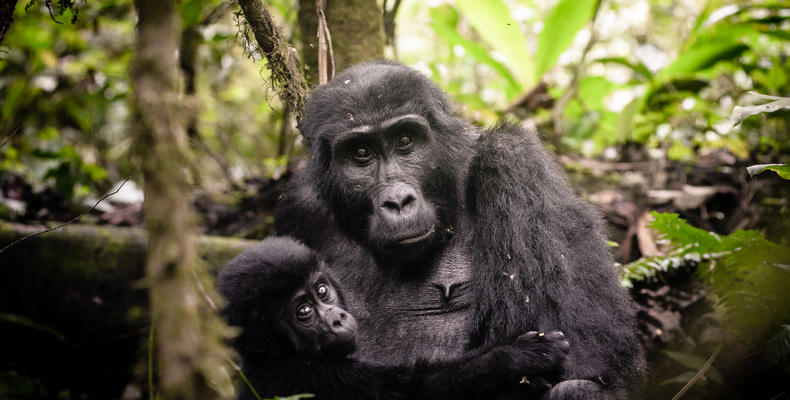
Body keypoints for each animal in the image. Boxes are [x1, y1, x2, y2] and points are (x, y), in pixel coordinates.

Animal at [220, 238, 572, 400]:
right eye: (303, 312)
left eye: (322, 291)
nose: (337, 319)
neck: (275, 357)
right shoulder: (311, 377)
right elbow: (415, 387)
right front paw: (518, 357)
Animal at [278, 61, 644, 398]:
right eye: (361, 153)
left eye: (405, 141)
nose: (398, 201)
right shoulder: (298, 210)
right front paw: (506, 360)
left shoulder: (514, 160)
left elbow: (587, 353)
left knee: (575, 387)